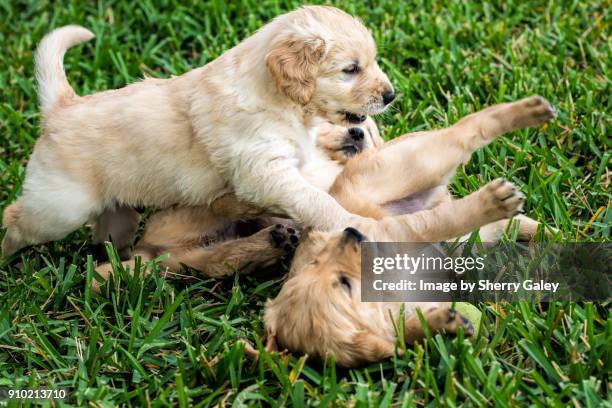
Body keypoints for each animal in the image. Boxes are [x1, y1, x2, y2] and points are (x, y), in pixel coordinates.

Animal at [2, 5, 394, 255]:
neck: (279, 101)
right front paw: (354, 222)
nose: (391, 95)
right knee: (15, 219)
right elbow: (315, 199)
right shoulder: (263, 170)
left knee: (108, 236)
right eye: (351, 69)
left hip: (117, 211)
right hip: (60, 208)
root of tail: (61, 106)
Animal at [262, 95, 556, 366]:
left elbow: (438, 221)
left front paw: (488, 202)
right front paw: (442, 323)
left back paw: (530, 109)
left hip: (414, 163)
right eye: (343, 282)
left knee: (468, 129)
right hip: (463, 233)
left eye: (316, 260)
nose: (350, 232)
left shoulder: (392, 232)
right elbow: (407, 333)